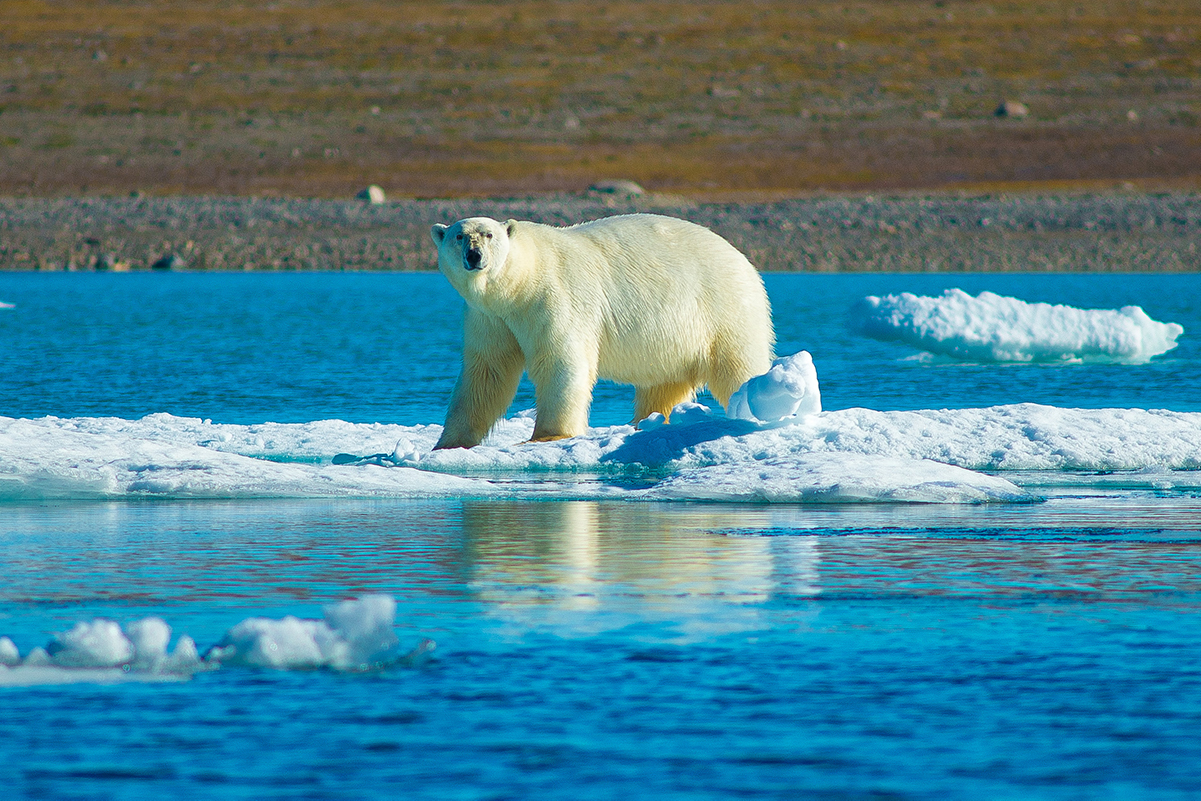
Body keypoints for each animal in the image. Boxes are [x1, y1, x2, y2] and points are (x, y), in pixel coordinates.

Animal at [427, 214, 773, 451]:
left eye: (488, 234)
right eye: (459, 236)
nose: (474, 255)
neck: (519, 285)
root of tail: (743, 260)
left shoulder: (554, 297)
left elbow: (560, 360)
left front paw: (548, 435)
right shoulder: (489, 317)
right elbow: (488, 371)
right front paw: (448, 442)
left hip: (724, 308)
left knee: (738, 364)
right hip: (674, 336)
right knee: (664, 382)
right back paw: (645, 423)